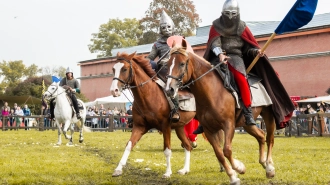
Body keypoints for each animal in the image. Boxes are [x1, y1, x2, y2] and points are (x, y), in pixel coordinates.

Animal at [165, 39, 276, 184]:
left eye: (182, 63)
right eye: (167, 64)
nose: (169, 89)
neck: (212, 93)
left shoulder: (228, 125)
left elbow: (227, 150)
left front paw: (239, 168)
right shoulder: (209, 129)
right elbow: (219, 153)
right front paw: (233, 176)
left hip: (268, 115)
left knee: (269, 139)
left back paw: (269, 167)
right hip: (247, 124)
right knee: (261, 136)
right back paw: (264, 163)